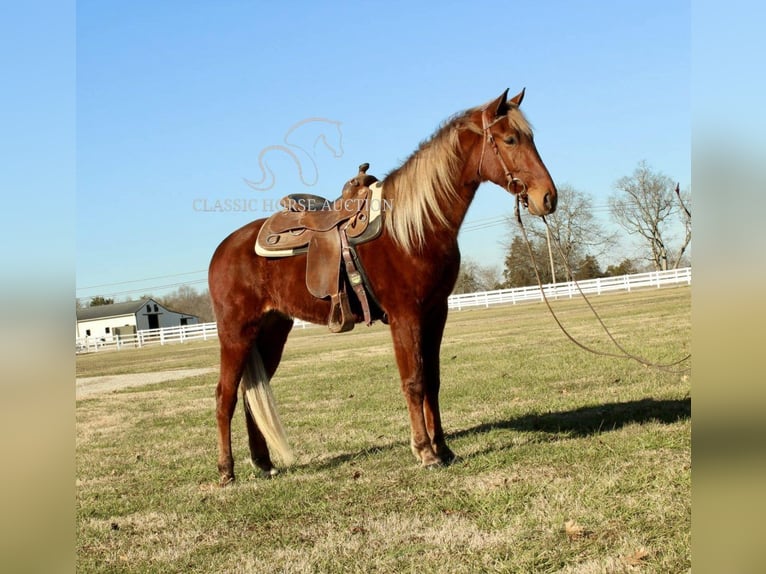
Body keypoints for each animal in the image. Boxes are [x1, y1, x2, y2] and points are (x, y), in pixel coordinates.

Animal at [210, 89, 560, 486]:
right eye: (511, 139)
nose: (548, 198)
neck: (415, 226)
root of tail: (223, 249)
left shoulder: (435, 312)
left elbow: (432, 380)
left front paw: (444, 449)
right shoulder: (405, 315)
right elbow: (413, 381)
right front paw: (425, 452)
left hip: (271, 332)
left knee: (252, 395)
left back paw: (264, 463)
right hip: (236, 333)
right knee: (225, 396)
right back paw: (226, 471)